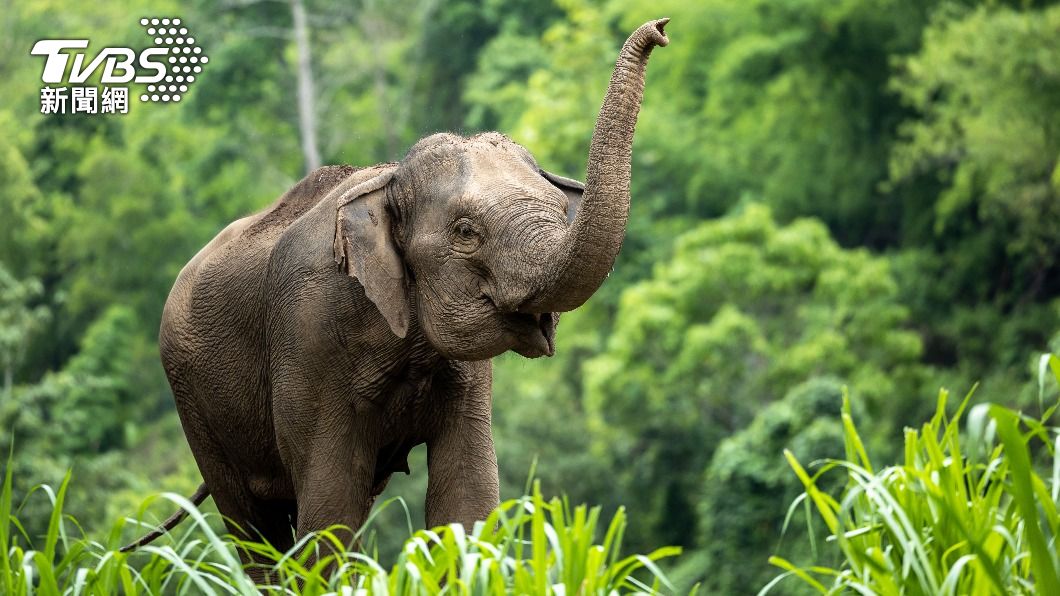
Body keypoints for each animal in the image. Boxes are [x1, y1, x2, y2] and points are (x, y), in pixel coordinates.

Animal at [122, 18, 670, 576]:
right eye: (466, 232)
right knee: (254, 525)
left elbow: (467, 496)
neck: (387, 178)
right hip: (192, 397)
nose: (661, 28)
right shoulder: (309, 333)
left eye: (562, 209)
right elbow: (330, 505)